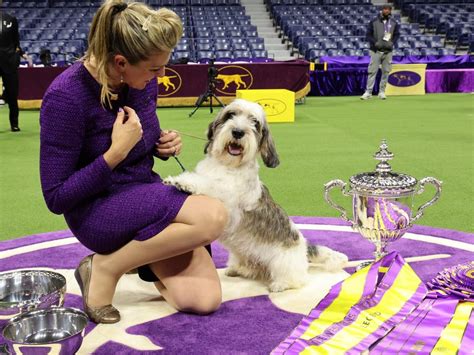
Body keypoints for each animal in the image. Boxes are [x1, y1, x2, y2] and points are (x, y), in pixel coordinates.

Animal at [166, 98, 348, 290]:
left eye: (255, 123)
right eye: (231, 115)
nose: (238, 132)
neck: (227, 166)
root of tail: (305, 246)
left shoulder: (228, 204)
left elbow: (209, 185)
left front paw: (184, 182)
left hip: (283, 262)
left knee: (297, 279)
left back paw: (280, 284)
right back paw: (237, 269)